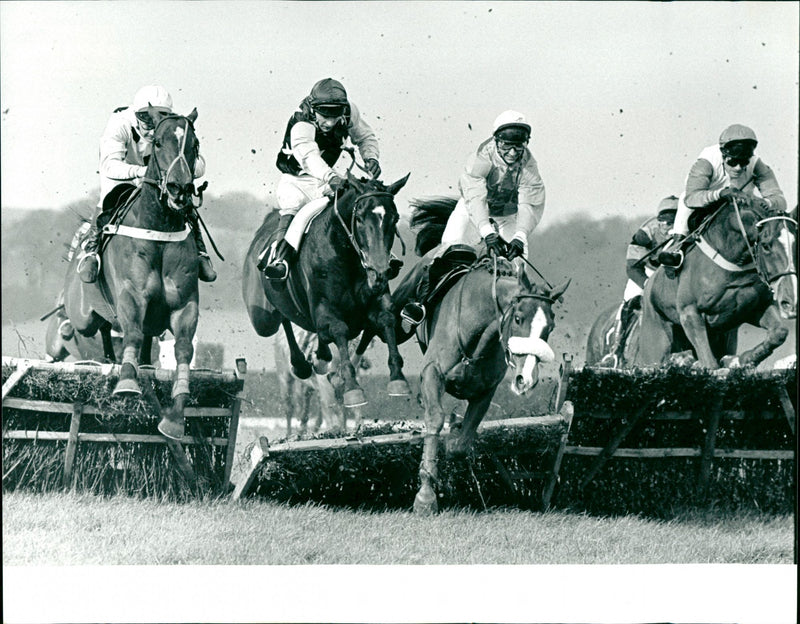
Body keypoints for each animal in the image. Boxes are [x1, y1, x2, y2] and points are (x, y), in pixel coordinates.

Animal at [241, 173, 410, 408]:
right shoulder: (325, 307)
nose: (380, 271)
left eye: (394, 219)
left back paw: (319, 358)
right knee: (282, 318)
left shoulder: (374, 302)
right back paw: (302, 364)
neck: (345, 255)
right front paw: (352, 387)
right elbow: (339, 329)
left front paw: (397, 379)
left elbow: (386, 320)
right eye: (359, 219)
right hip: (262, 318)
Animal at [390, 199, 568, 512]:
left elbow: (461, 444)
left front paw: (453, 438)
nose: (526, 379)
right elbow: (434, 419)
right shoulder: (433, 373)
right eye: (518, 318)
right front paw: (425, 497)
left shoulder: (485, 391)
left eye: (550, 327)